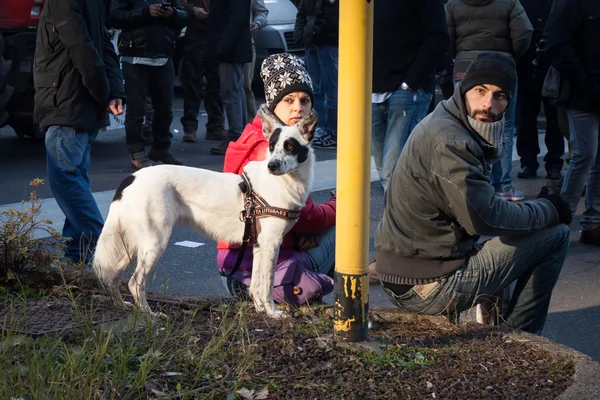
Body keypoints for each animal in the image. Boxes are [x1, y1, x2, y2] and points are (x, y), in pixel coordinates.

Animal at [92, 107, 318, 318]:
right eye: (272, 147)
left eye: (290, 146)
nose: (272, 165)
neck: (285, 182)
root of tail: (132, 177)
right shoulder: (272, 243)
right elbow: (267, 284)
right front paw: (273, 313)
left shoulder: (259, 244)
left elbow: (256, 284)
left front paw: (261, 309)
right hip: (154, 242)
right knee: (135, 282)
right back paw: (150, 315)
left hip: (131, 244)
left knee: (111, 277)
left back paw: (121, 306)